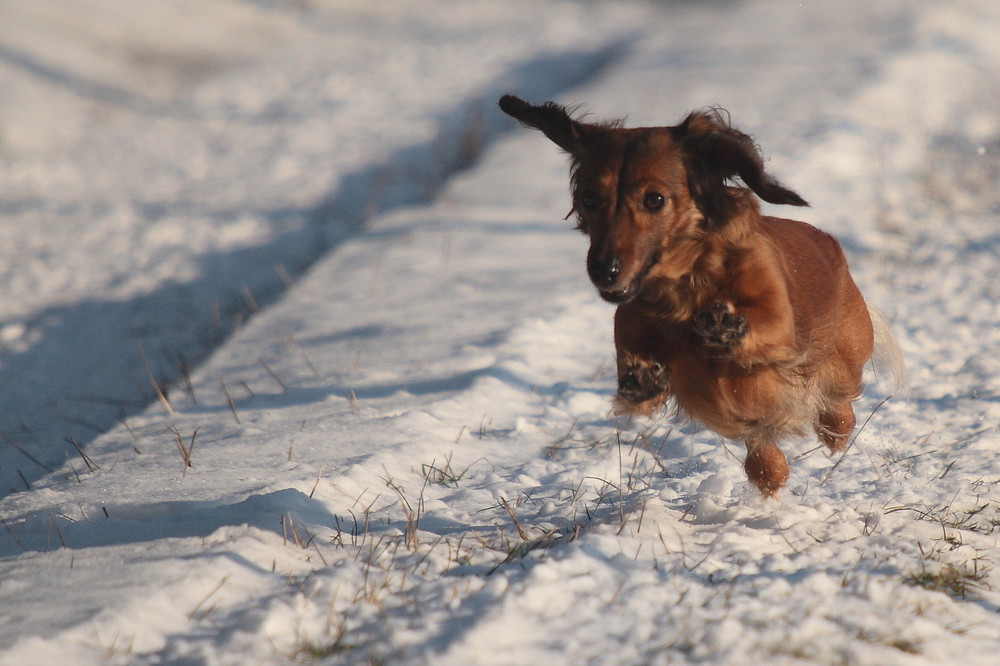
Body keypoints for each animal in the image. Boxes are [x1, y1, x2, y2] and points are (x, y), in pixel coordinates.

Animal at [496, 96, 880, 496]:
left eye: (654, 199)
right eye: (589, 198)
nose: (604, 271)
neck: (685, 287)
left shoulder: (779, 322)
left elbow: (762, 325)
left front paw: (725, 327)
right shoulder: (631, 327)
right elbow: (635, 368)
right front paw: (642, 379)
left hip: (843, 362)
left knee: (838, 409)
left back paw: (832, 428)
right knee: (765, 455)